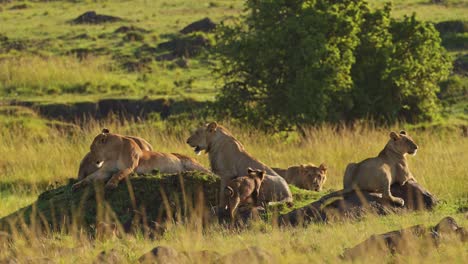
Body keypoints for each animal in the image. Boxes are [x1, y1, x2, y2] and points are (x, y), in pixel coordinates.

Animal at [72, 129, 211, 190]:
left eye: (92, 148)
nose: (92, 159)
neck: (112, 153)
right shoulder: (105, 171)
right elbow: (90, 177)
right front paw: (78, 184)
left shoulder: (129, 167)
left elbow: (118, 174)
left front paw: (111, 184)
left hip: (192, 163)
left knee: (208, 171)